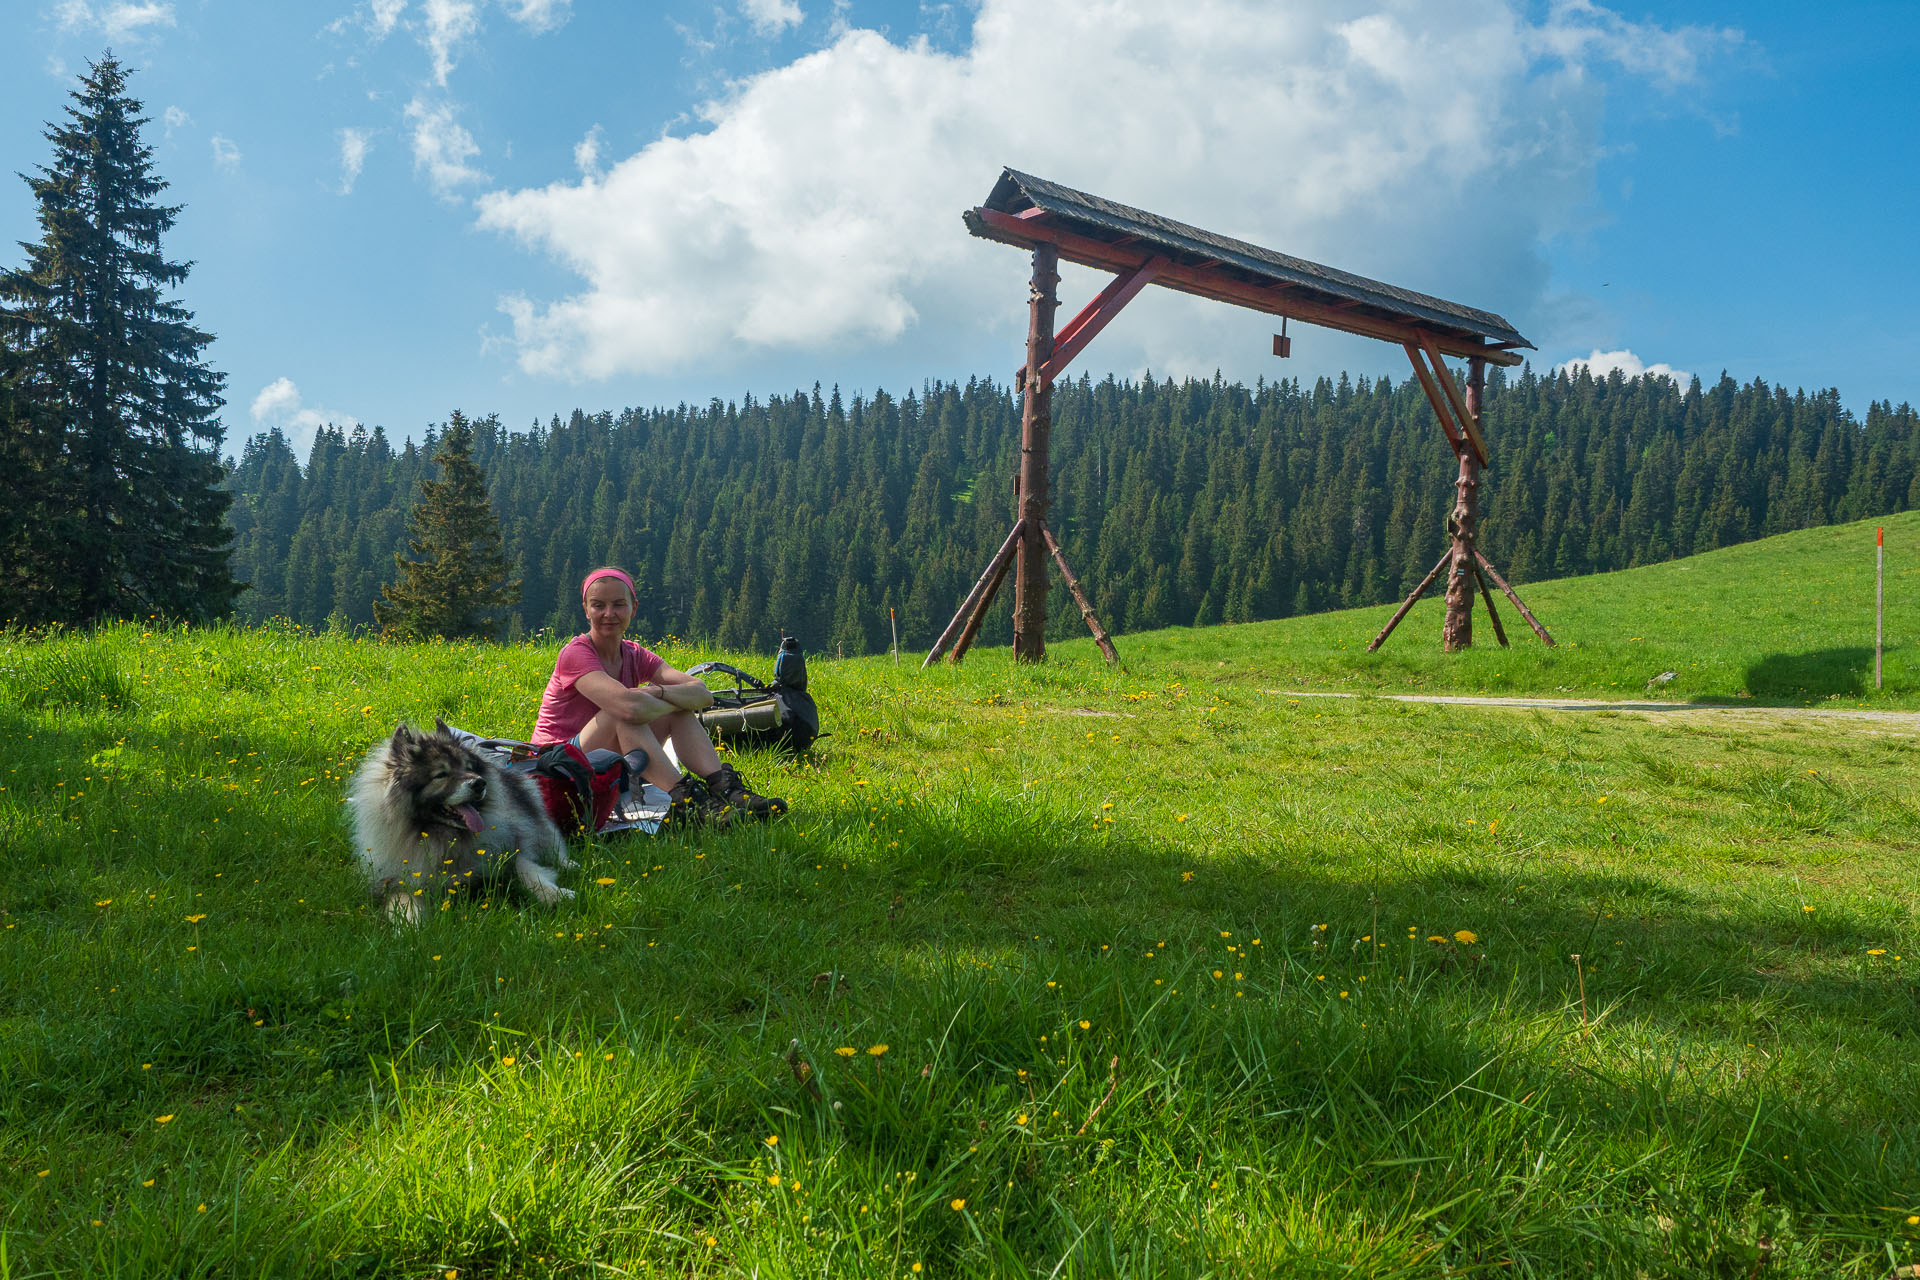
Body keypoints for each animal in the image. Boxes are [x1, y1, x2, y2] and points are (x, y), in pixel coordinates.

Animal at [347, 721, 572, 921]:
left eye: (469, 767)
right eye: (441, 774)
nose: (480, 783)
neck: (444, 839)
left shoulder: (509, 851)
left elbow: (527, 870)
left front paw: (555, 895)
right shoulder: (396, 881)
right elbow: (403, 900)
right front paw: (410, 924)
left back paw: (569, 864)